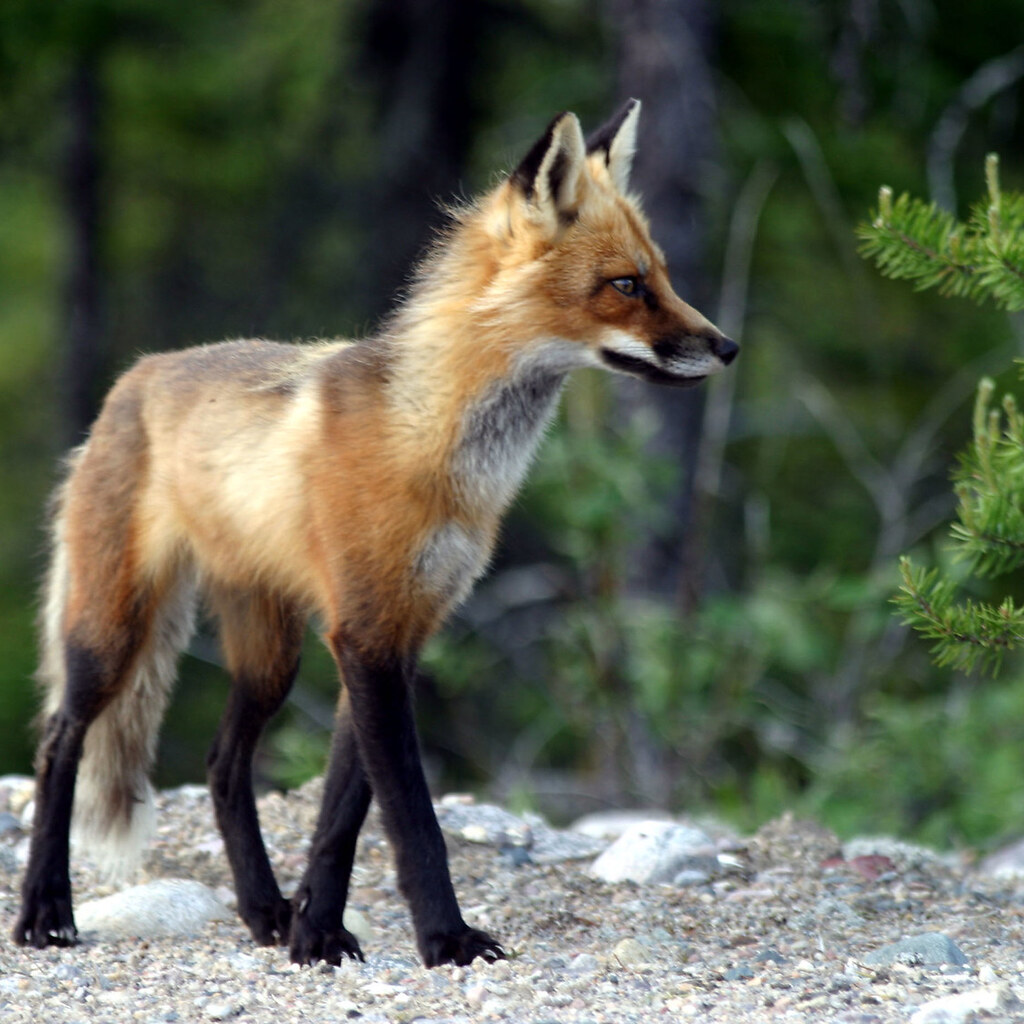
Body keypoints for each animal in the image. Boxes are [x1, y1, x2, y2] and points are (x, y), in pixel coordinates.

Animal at [12, 99, 737, 968]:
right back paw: (44, 909)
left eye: (662, 276)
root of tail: (131, 377)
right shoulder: (364, 633)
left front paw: (315, 932)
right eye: (626, 285)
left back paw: (263, 912)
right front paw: (446, 939)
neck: (437, 450)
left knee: (223, 765)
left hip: (270, 656)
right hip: (113, 629)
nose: (728, 347)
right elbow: (413, 819)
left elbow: (343, 816)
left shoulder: (401, 627)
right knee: (58, 742)